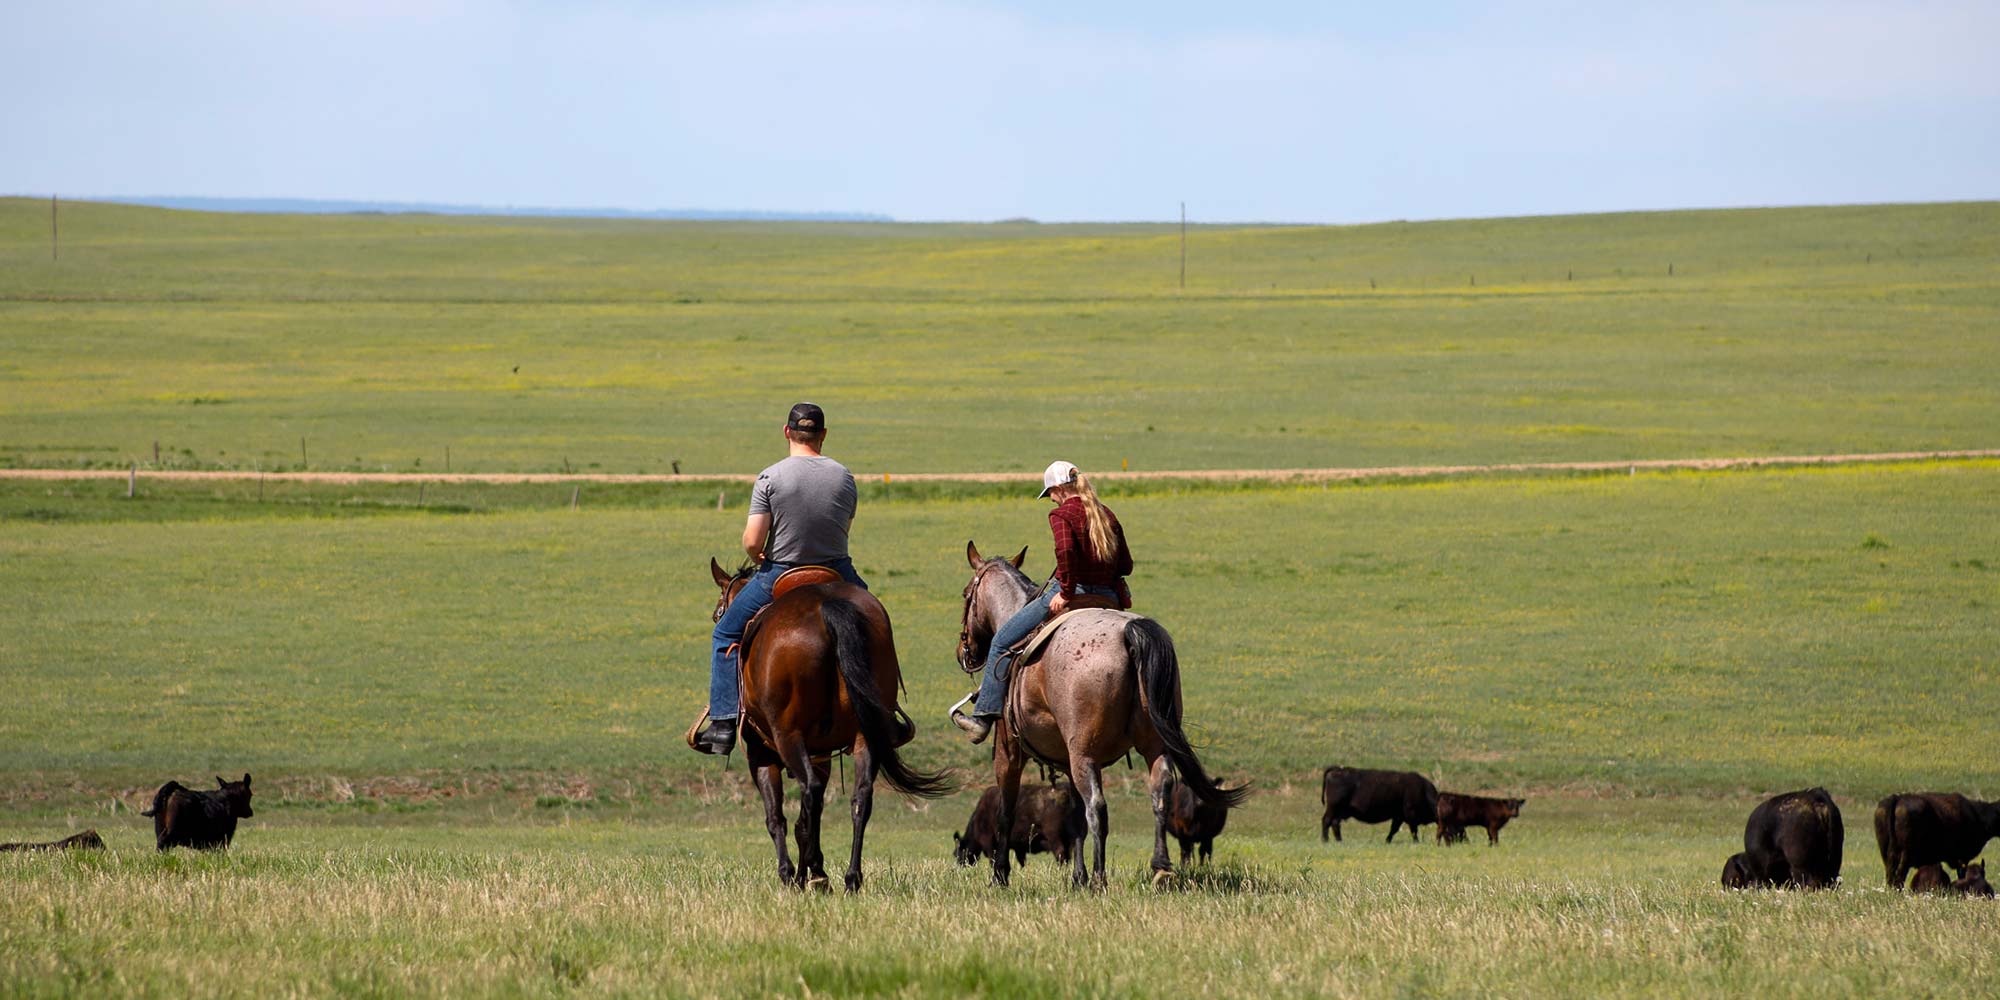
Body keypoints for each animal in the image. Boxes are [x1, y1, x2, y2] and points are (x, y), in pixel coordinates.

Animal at [708, 560, 948, 896]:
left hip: (788, 736)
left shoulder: (760, 754)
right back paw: (850, 879)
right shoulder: (821, 754)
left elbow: (777, 817)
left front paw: (791, 874)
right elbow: (808, 819)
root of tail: (827, 607)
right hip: (865, 736)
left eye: (719, 613)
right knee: (861, 798)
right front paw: (817, 871)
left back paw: (805, 877)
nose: (718, 616)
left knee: (809, 792)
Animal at [948, 780, 1080, 868]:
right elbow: (1022, 862)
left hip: (1054, 837)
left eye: (957, 853)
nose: (959, 868)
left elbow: (992, 859)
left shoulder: (989, 843)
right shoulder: (1019, 847)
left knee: (1060, 854)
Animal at [1872, 792, 2000, 888]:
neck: (1977, 815)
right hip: (1905, 855)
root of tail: (1897, 798)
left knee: (1890, 875)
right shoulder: (1962, 858)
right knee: (1899, 876)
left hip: (1886, 853)